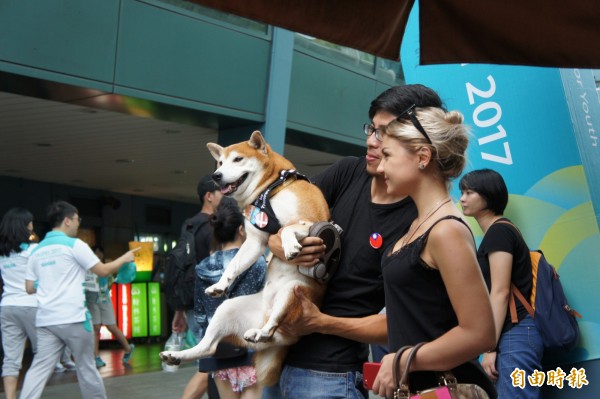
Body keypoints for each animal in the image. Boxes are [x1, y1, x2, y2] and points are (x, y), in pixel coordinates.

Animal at [159, 131, 340, 388]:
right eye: (220, 163)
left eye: (238, 159)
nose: (216, 175)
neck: (271, 189)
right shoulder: (255, 240)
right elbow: (234, 265)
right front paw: (220, 284)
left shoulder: (311, 223)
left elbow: (287, 229)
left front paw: (290, 245)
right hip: (228, 308)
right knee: (209, 347)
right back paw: (177, 355)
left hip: (291, 292)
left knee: (272, 325)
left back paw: (260, 332)